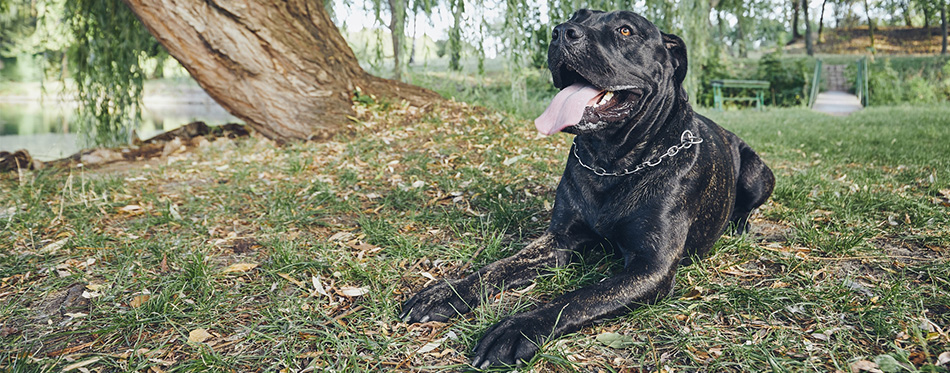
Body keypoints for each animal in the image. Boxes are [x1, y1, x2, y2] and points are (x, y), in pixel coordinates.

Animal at [398, 8, 776, 366]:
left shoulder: (650, 267)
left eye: (626, 30)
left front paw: (516, 328)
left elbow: (578, 298)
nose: (561, 31)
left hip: (758, 174)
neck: (612, 163)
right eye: (576, 17)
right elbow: (497, 267)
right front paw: (446, 292)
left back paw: (740, 226)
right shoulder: (558, 240)